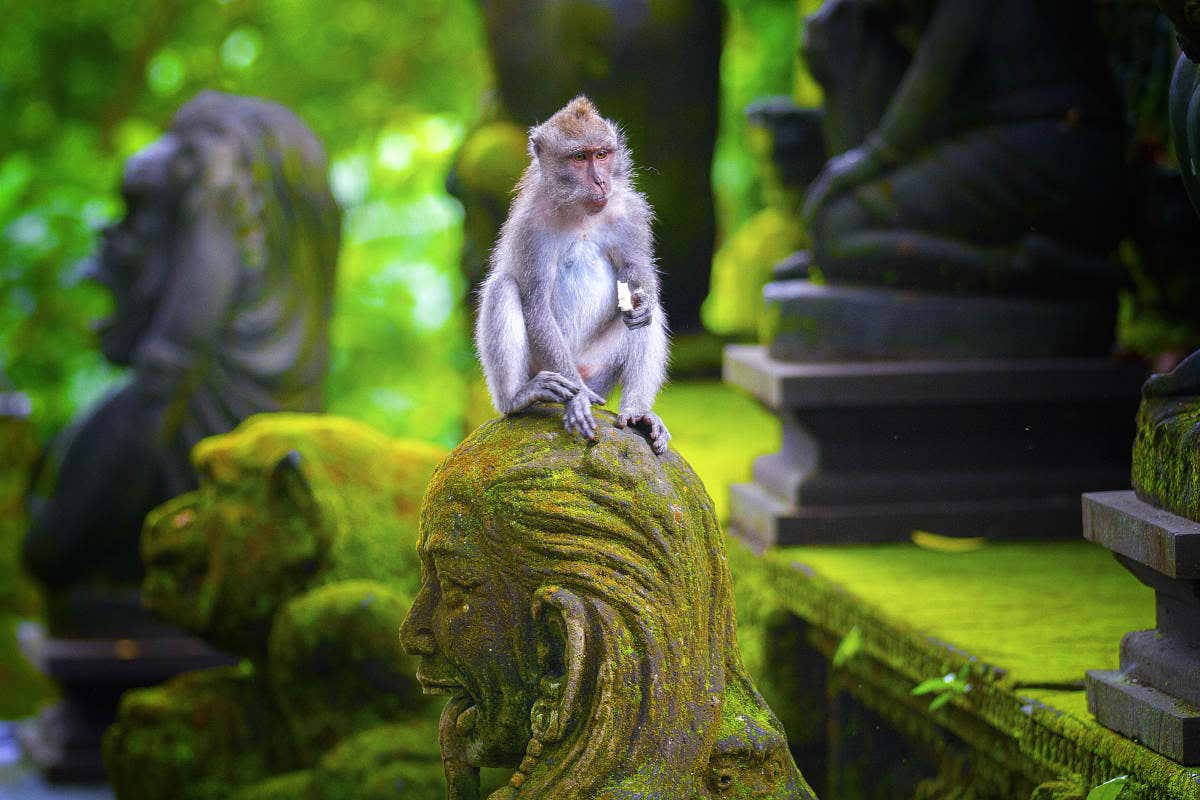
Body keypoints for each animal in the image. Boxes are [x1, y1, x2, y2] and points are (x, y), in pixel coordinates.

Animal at [475, 95, 671, 455]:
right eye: (580, 157)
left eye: (602, 154)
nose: (601, 182)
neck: (580, 212)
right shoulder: (530, 228)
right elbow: (536, 306)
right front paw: (576, 401)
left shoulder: (631, 214)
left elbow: (638, 275)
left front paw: (643, 300)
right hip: (546, 369)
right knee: (502, 287)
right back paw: (518, 398)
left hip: (599, 371)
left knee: (650, 316)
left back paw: (637, 412)